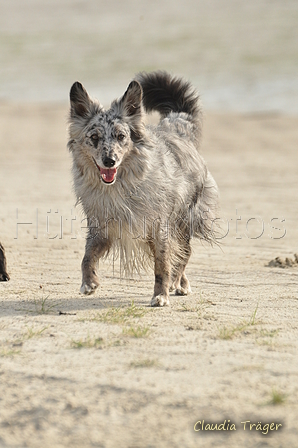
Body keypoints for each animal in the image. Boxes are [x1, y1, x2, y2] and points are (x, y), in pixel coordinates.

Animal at [69, 72, 219, 306]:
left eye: (121, 136)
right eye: (94, 137)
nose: (109, 161)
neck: (120, 187)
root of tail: (177, 127)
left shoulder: (159, 228)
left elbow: (162, 265)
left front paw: (160, 295)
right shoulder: (101, 226)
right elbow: (87, 255)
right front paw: (88, 282)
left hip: (184, 219)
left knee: (185, 252)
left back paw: (177, 282)